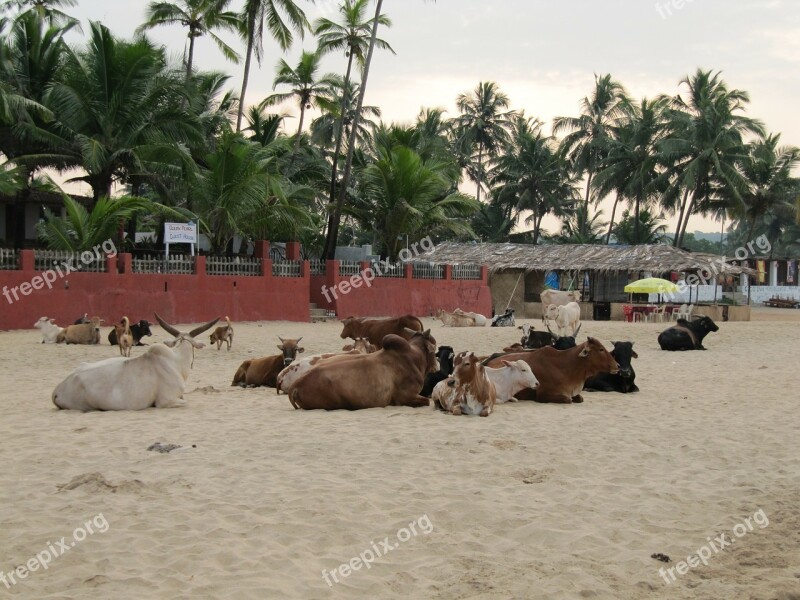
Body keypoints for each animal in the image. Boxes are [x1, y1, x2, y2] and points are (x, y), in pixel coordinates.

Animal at [290, 330, 438, 410]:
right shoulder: (406, 397)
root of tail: (295, 385)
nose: (436, 367)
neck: (414, 356)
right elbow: (426, 401)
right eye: (435, 347)